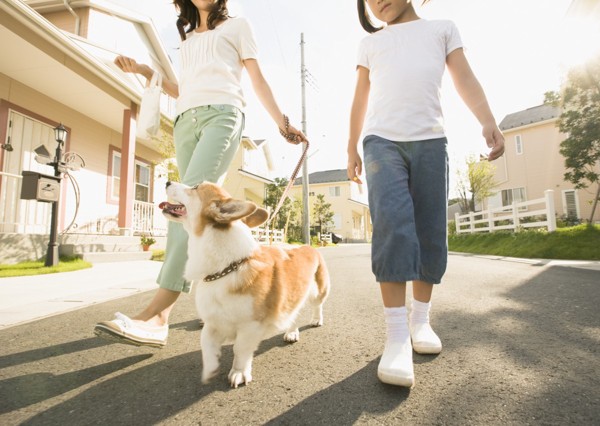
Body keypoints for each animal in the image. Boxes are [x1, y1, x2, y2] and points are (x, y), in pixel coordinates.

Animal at [159, 181, 330, 388]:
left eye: (196, 187)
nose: (167, 181)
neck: (226, 268)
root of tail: (307, 246)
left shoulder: (250, 327)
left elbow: (240, 350)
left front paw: (239, 373)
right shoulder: (213, 322)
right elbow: (205, 343)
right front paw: (210, 369)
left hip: (318, 290)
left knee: (317, 306)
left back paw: (316, 320)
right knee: (293, 313)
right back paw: (291, 332)